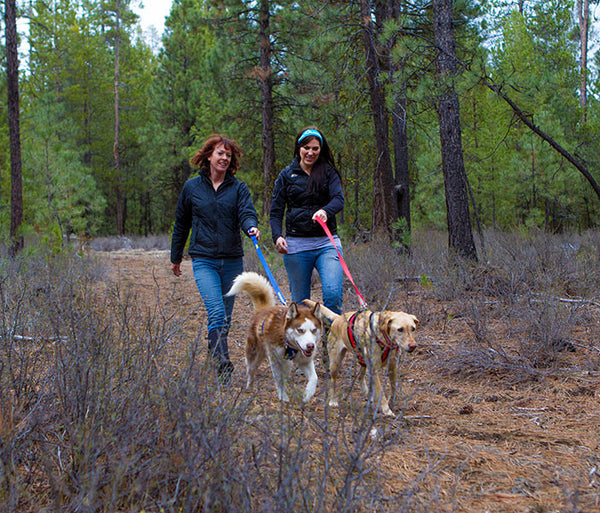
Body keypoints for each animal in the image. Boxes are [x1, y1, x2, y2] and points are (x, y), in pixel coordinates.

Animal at [225, 272, 322, 404]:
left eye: (314, 330)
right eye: (300, 330)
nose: (310, 346)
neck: (288, 343)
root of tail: (262, 309)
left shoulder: (304, 361)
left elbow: (314, 378)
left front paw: (307, 394)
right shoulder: (275, 361)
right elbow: (279, 380)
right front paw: (283, 396)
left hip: (285, 363)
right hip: (254, 355)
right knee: (251, 370)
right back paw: (249, 387)